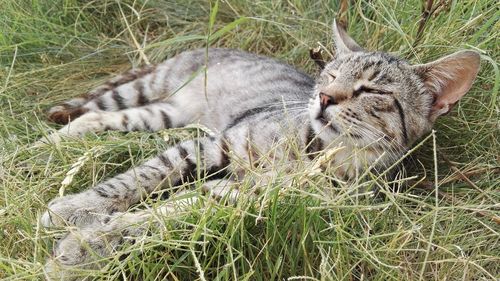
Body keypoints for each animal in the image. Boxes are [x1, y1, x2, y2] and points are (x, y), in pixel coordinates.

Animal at [40, 20, 480, 276]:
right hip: (149, 90)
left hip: (162, 114)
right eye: (330, 73)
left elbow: (164, 218)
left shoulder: (240, 198)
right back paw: (48, 141)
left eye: (372, 90)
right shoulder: (214, 143)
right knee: (94, 110)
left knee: (100, 119)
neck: (314, 153)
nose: (324, 97)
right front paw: (76, 210)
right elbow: (140, 177)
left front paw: (89, 243)